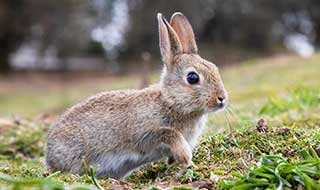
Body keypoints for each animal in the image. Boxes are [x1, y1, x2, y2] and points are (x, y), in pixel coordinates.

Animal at [46, 12, 229, 180]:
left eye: (215, 68)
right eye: (192, 78)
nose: (222, 98)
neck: (171, 102)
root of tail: (49, 155)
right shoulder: (144, 133)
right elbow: (169, 133)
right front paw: (186, 159)